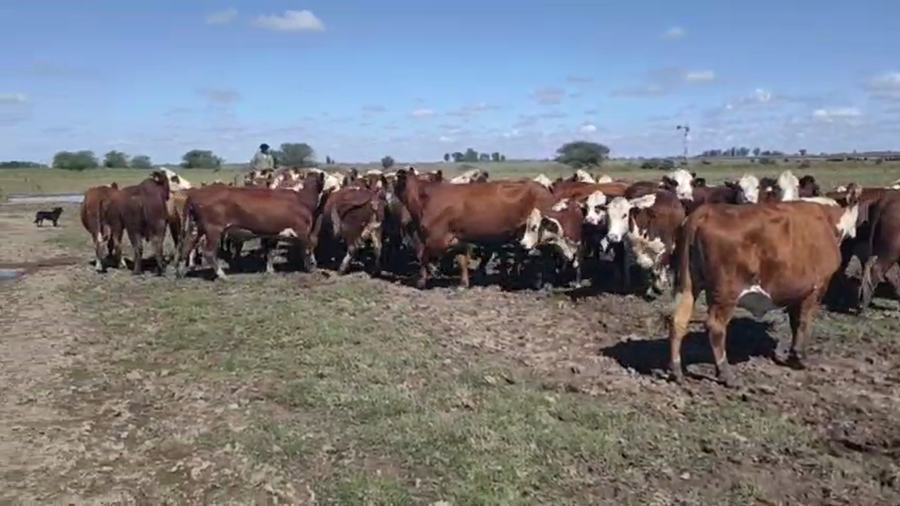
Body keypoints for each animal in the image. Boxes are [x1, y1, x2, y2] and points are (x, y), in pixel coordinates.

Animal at [668, 184, 863, 387]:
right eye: (857, 201)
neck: (827, 217)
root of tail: (705, 212)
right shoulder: (817, 287)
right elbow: (803, 322)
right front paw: (800, 357)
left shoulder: (796, 290)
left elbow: (795, 322)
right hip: (726, 292)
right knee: (715, 326)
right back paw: (725, 373)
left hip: (688, 285)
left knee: (678, 320)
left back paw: (676, 370)